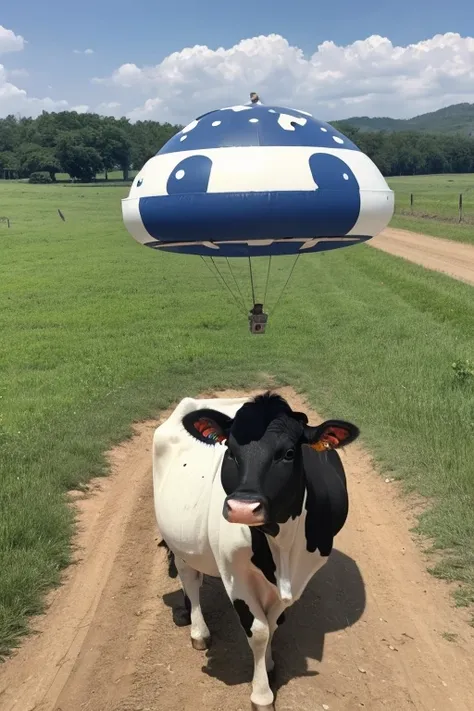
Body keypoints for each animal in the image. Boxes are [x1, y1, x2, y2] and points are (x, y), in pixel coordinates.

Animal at [153, 392, 360, 708]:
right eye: (230, 451)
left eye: (288, 453)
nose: (242, 508)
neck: (281, 548)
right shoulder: (234, 572)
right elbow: (259, 629)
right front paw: (262, 694)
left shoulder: (303, 573)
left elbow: (273, 622)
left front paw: (271, 664)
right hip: (179, 539)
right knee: (190, 577)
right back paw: (198, 630)